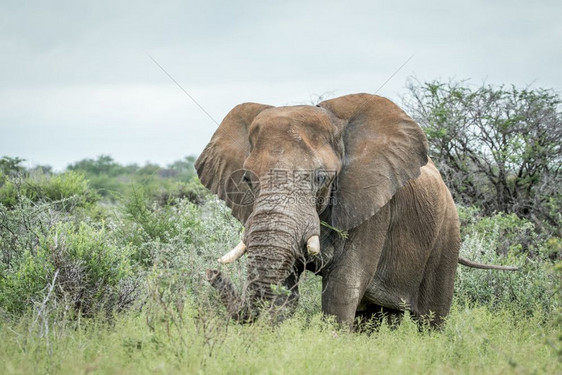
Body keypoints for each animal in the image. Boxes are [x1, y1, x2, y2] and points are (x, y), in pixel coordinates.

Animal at [194, 92, 516, 328]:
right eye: (247, 179)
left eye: (320, 178)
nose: (211, 273)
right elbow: (283, 290)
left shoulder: (374, 205)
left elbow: (343, 287)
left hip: (446, 236)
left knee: (431, 319)